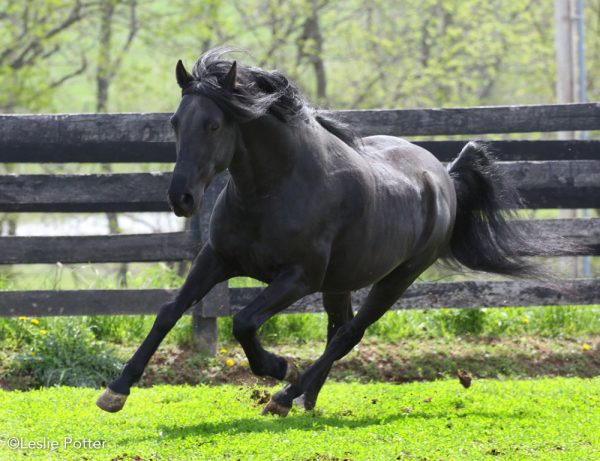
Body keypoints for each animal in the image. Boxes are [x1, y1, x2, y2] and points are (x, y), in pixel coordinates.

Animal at [96, 48, 556, 416]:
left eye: (213, 125)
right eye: (175, 122)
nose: (182, 198)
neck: (273, 190)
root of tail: (444, 175)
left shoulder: (298, 278)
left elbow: (244, 321)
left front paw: (279, 367)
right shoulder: (218, 259)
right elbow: (169, 311)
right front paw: (116, 391)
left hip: (398, 278)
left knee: (350, 333)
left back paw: (286, 394)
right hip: (341, 281)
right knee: (340, 330)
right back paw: (304, 399)